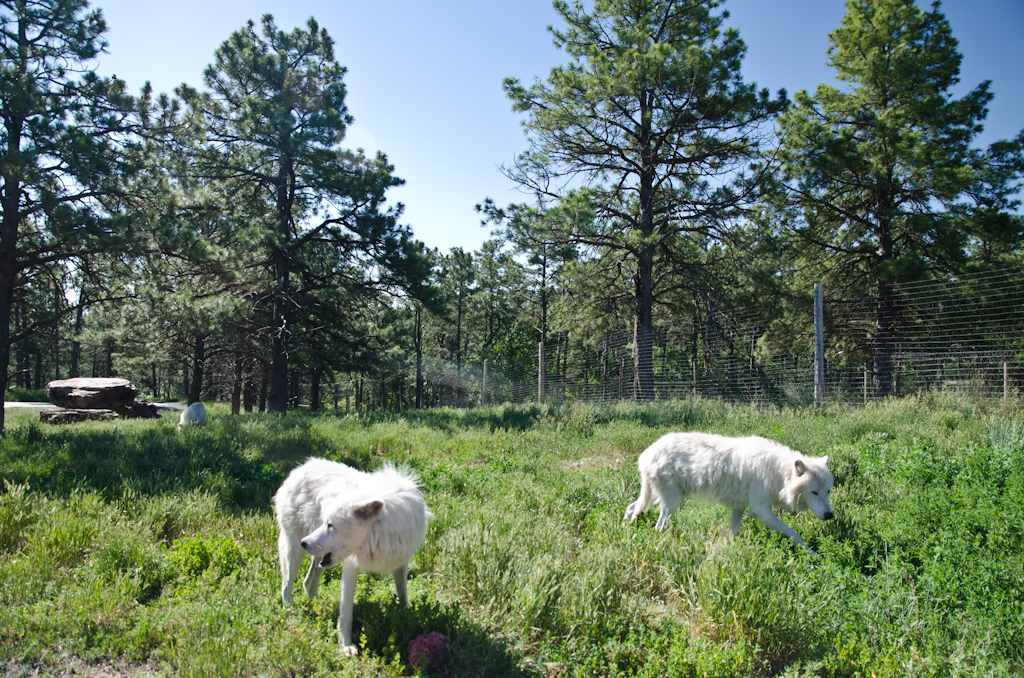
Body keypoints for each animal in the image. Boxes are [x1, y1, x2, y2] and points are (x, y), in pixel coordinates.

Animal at [274, 458, 430, 655]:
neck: (382, 534)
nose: (305, 542)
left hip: (319, 558)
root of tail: (299, 469)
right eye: (325, 522)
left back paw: (321, 609)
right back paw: (290, 614)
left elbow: (404, 599)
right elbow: (346, 611)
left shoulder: (401, 563)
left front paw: (408, 624)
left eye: (330, 525)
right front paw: (346, 646)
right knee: (286, 585)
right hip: (293, 552)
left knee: (308, 583)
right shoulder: (351, 565)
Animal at [622, 436, 831, 553]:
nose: (830, 515)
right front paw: (813, 555)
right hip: (671, 505)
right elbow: (795, 534)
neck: (778, 472)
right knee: (659, 528)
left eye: (828, 491)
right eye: (814, 492)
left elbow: (732, 534)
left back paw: (624, 530)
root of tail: (646, 453)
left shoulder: (739, 507)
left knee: (631, 508)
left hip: (657, 498)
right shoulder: (760, 510)